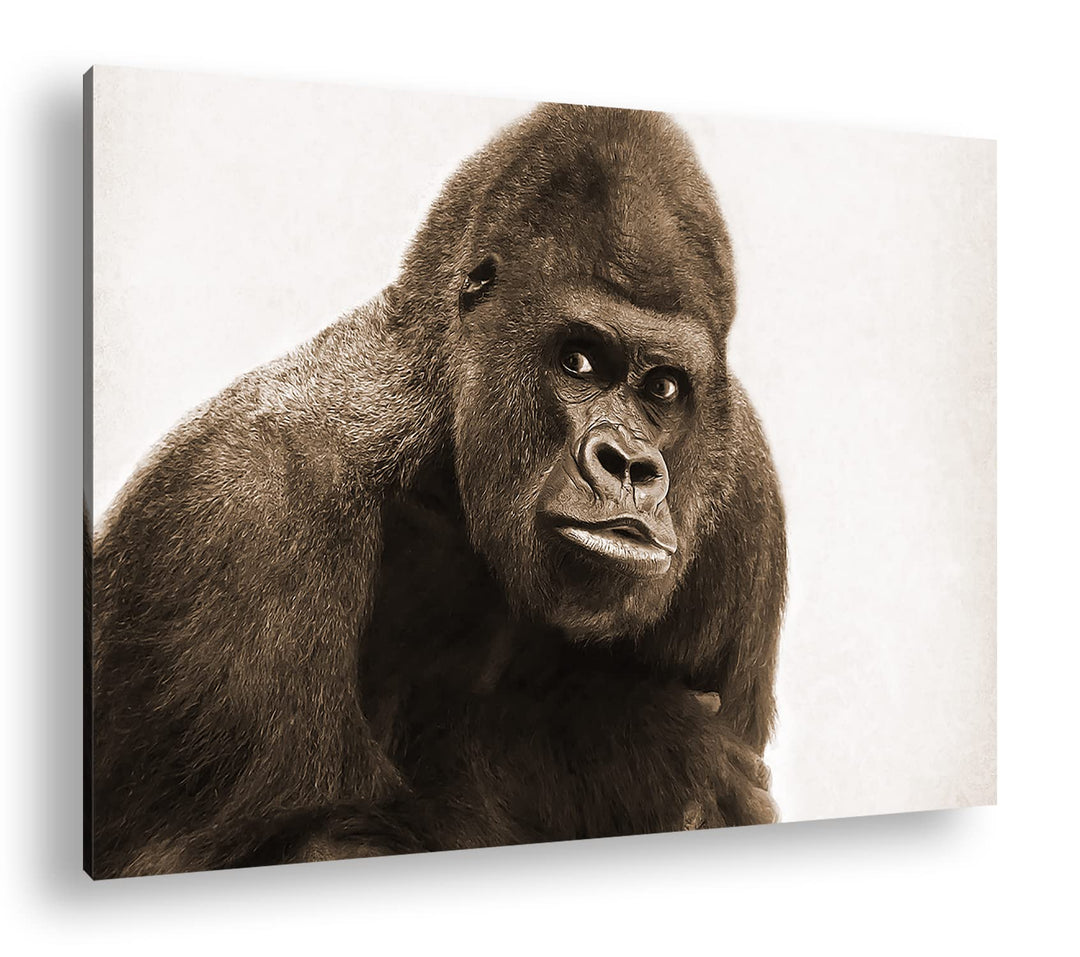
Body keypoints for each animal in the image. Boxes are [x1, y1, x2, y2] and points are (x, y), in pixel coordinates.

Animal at [88, 103, 786, 878]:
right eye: (577, 361)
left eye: (662, 387)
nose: (630, 465)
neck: (440, 445)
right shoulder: (242, 508)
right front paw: (630, 752)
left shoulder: (744, 491)